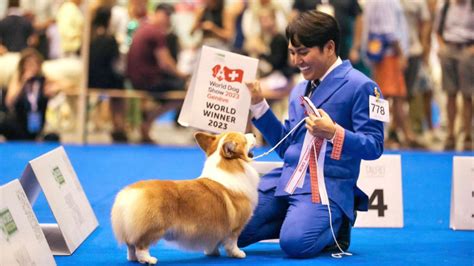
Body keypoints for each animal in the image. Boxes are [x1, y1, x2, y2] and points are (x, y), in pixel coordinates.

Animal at [110, 132, 260, 264]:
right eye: (244, 139)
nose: (254, 134)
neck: (230, 166)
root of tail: (129, 192)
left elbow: (212, 243)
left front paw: (212, 253)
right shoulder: (235, 228)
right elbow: (233, 243)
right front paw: (238, 254)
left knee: (130, 246)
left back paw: (133, 259)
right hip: (153, 228)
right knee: (140, 246)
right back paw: (148, 260)